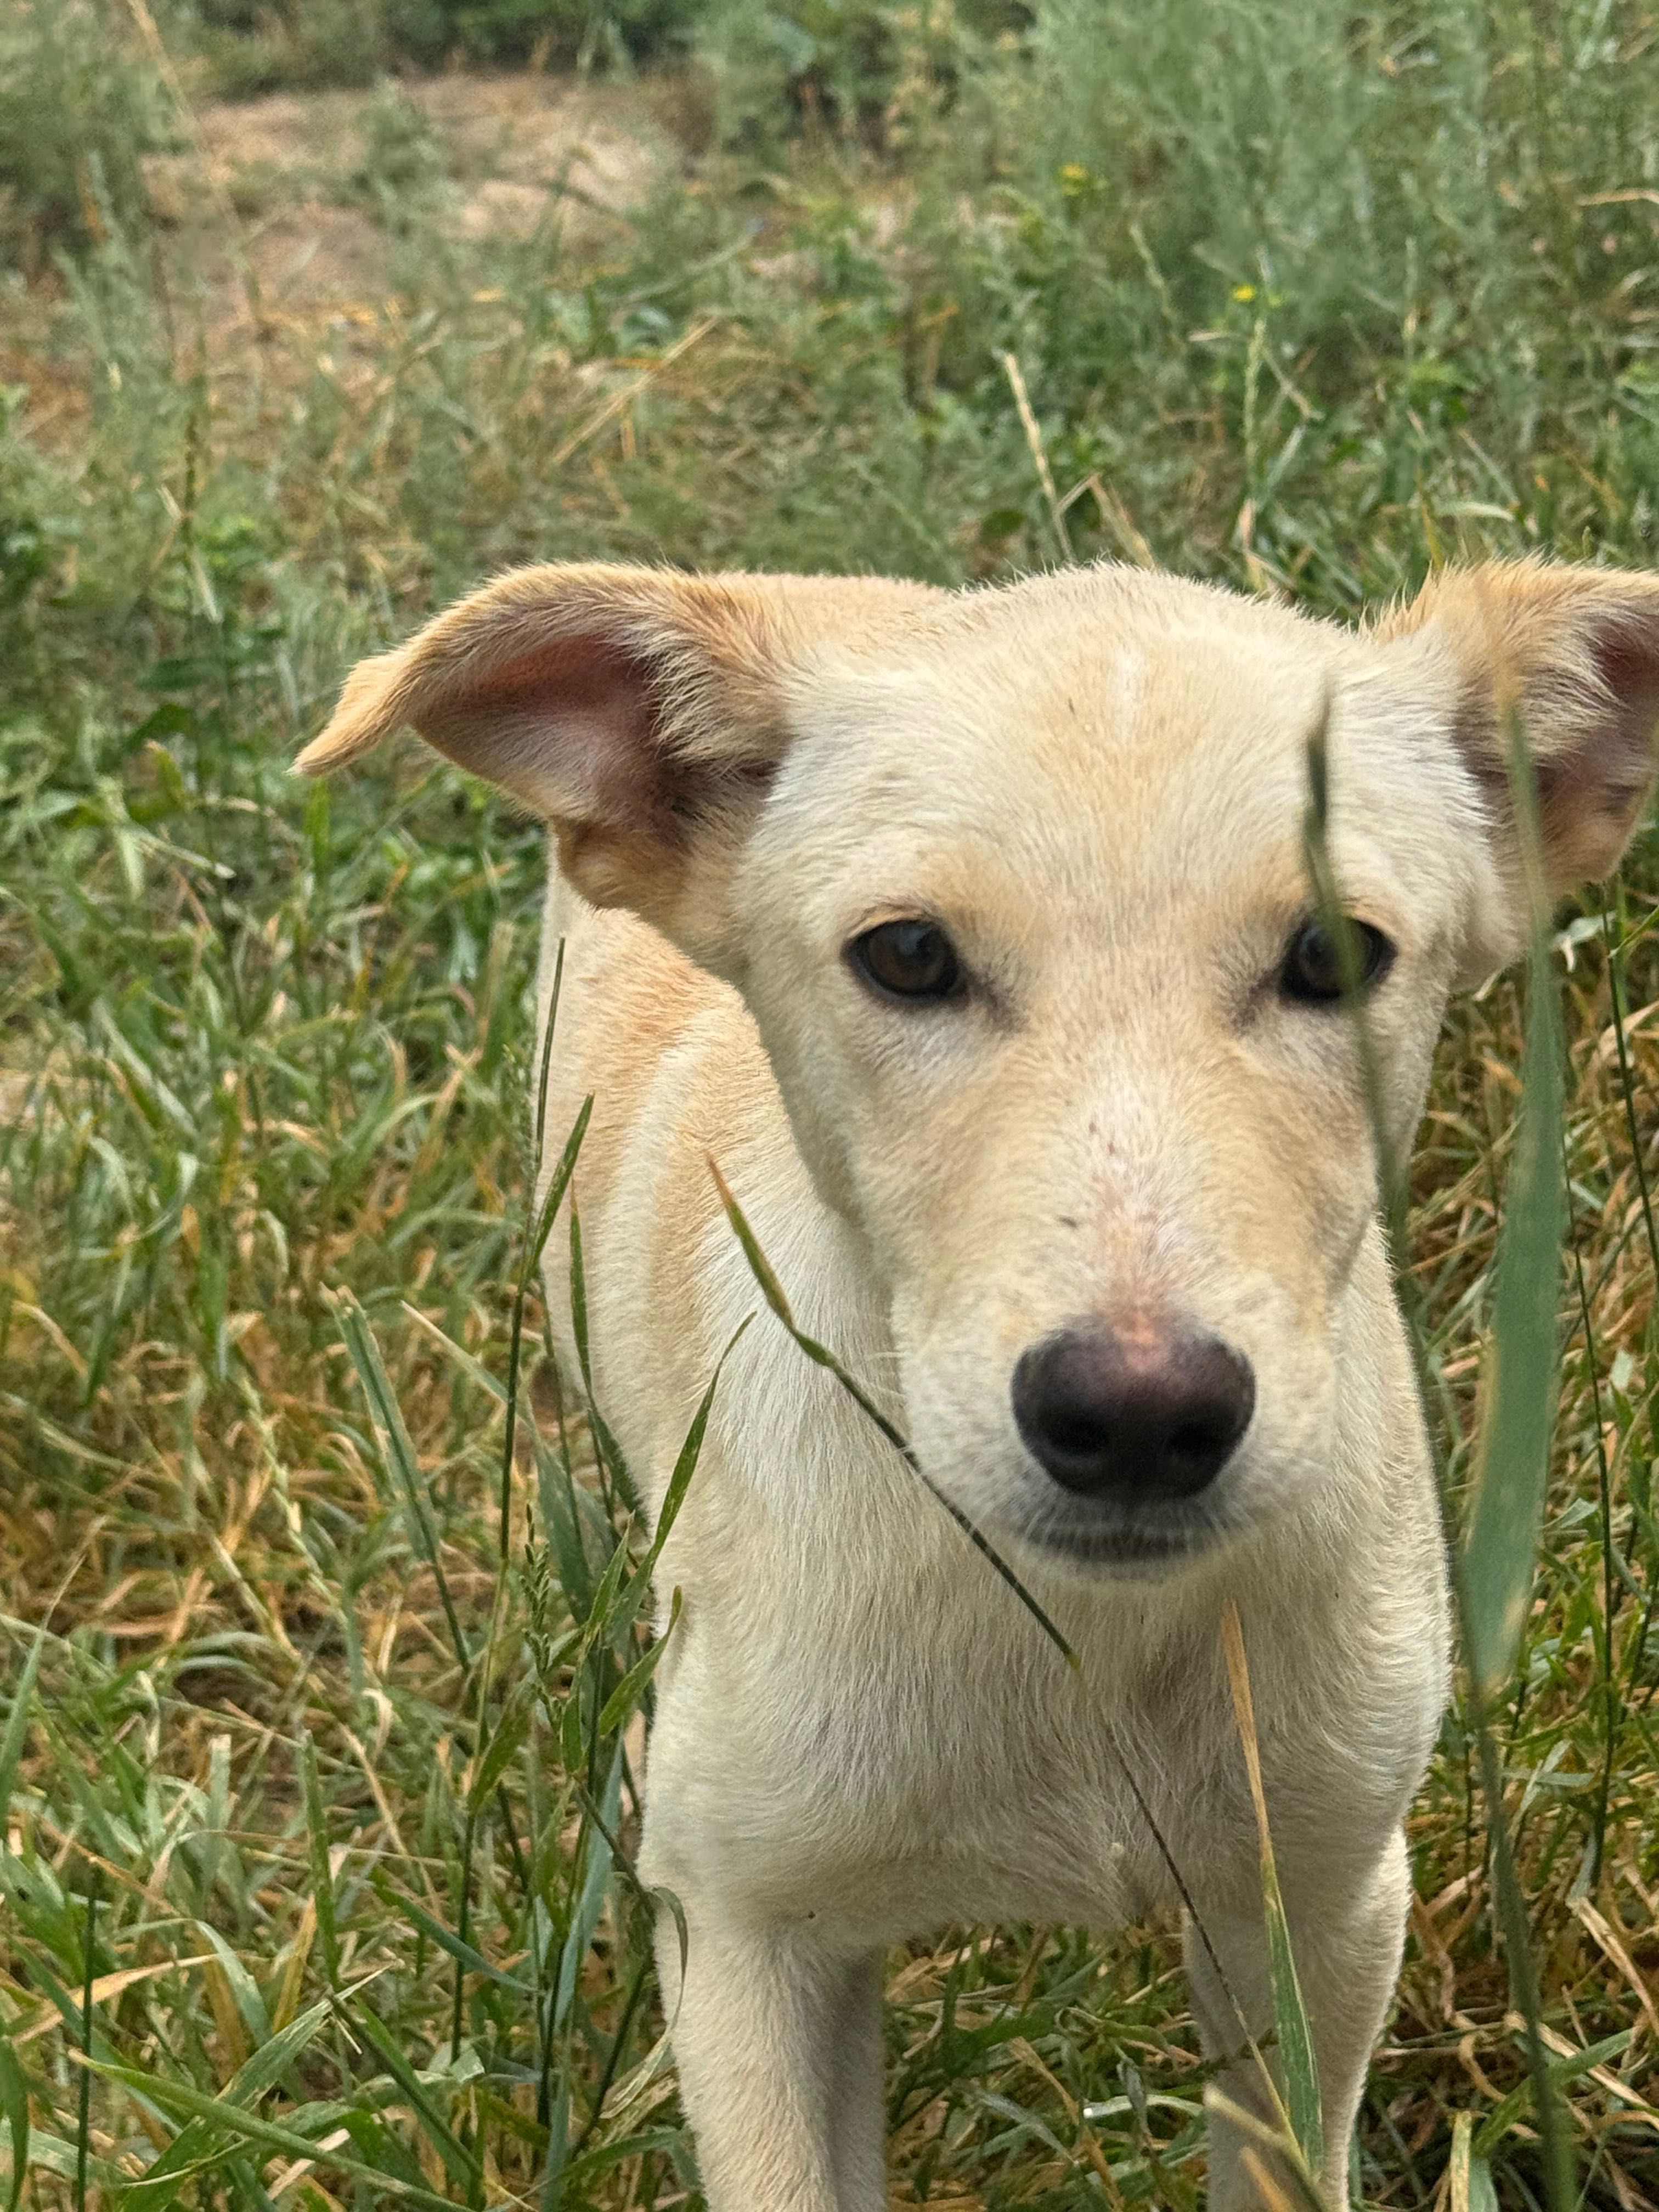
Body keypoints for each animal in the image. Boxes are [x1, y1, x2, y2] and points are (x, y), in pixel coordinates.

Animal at [298, 557, 1659, 2212]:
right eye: (907, 957)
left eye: (1335, 957)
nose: (1139, 1419)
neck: (1069, 1629)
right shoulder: (746, 1949)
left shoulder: (1327, 1907)